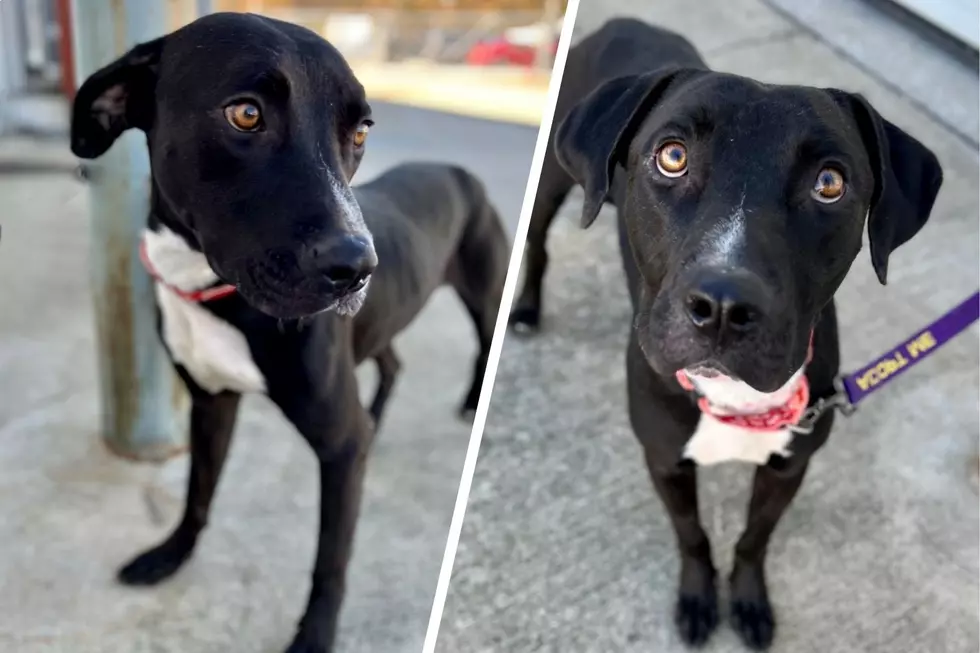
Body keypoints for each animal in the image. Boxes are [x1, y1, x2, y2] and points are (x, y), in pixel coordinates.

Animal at [72, 11, 510, 652]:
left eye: (360, 132)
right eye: (245, 114)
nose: (358, 268)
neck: (207, 290)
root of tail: (459, 171)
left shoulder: (338, 447)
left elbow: (331, 557)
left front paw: (315, 635)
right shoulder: (211, 402)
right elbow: (198, 491)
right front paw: (171, 555)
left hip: (484, 292)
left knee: (481, 342)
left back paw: (471, 401)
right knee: (392, 364)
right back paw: (379, 420)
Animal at [512, 17, 940, 648]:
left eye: (830, 183)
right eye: (672, 156)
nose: (722, 305)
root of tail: (622, 21)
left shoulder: (789, 467)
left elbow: (752, 541)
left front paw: (749, 601)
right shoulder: (665, 459)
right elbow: (692, 536)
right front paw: (696, 598)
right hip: (549, 182)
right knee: (538, 241)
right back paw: (524, 309)